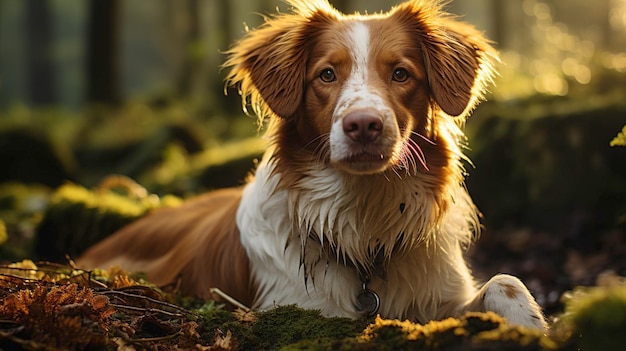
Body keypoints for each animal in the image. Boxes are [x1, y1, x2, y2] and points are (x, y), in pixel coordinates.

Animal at [79, 0, 544, 330]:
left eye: (400, 74)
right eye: (326, 75)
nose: (363, 125)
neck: (365, 217)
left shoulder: (443, 297)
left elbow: (507, 282)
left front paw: (531, 326)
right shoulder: (298, 308)